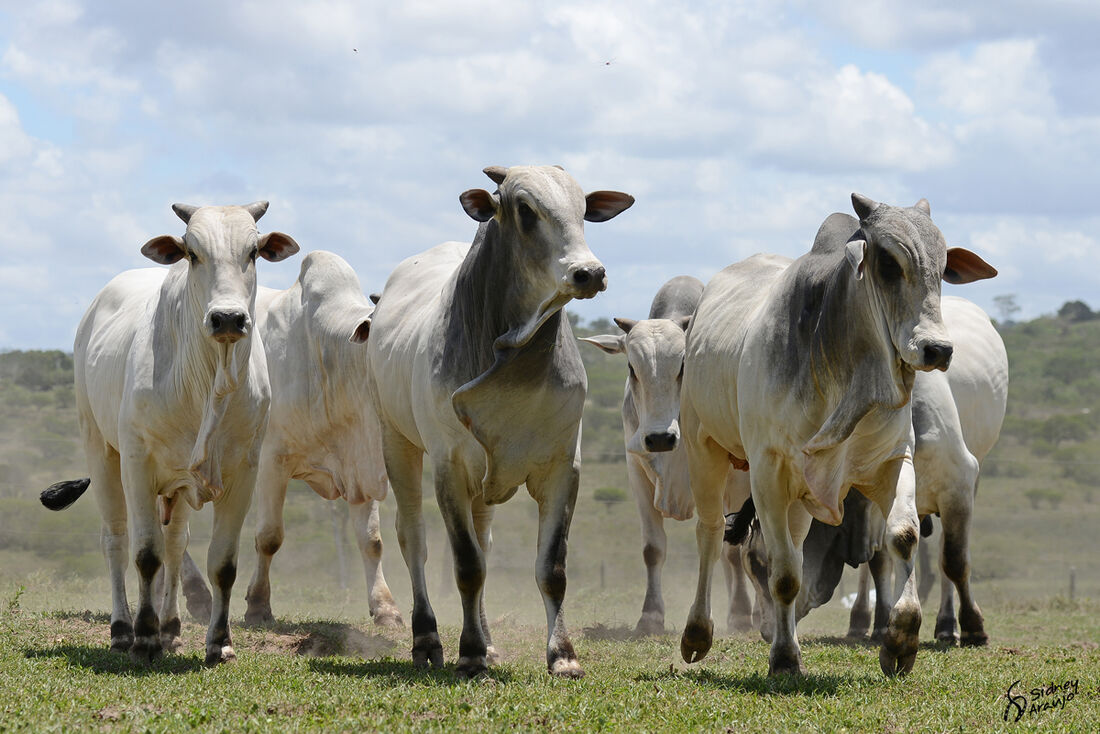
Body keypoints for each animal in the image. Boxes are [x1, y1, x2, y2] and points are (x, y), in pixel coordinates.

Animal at [41, 202, 299, 664]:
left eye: (253, 252)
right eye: (192, 253)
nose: (228, 318)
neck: (209, 382)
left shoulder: (244, 471)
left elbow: (222, 563)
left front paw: (219, 641)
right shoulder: (138, 463)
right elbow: (146, 554)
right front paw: (144, 637)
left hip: (176, 484)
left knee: (177, 543)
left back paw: (173, 628)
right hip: (100, 449)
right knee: (116, 539)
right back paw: (123, 629)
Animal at [245, 250, 404, 625]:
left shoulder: (360, 466)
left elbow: (372, 540)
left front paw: (385, 608)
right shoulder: (272, 459)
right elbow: (269, 536)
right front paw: (258, 605)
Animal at [367, 165, 633, 677]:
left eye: (583, 209)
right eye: (525, 210)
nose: (589, 272)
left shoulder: (563, 466)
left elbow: (551, 569)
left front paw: (562, 655)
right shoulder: (449, 466)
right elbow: (467, 565)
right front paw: (468, 654)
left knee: (483, 543)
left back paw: (489, 642)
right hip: (396, 443)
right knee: (414, 539)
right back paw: (427, 639)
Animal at [585, 277, 756, 638]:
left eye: (683, 366)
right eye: (632, 368)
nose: (661, 437)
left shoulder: (735, 479)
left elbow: (734, 548)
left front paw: (741, 615)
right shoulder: (636, 472)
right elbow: (654, 548)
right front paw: (650, 616)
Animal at [677, 196, 998, 677]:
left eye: (943, 267)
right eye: (888, 262)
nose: (938, 349)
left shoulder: (893, 462)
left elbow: (903, 537)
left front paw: (901, 638)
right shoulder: (767, 471)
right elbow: (784, 572)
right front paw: (784, 658)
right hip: (704, 448)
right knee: (712, 532)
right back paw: (700, 633)